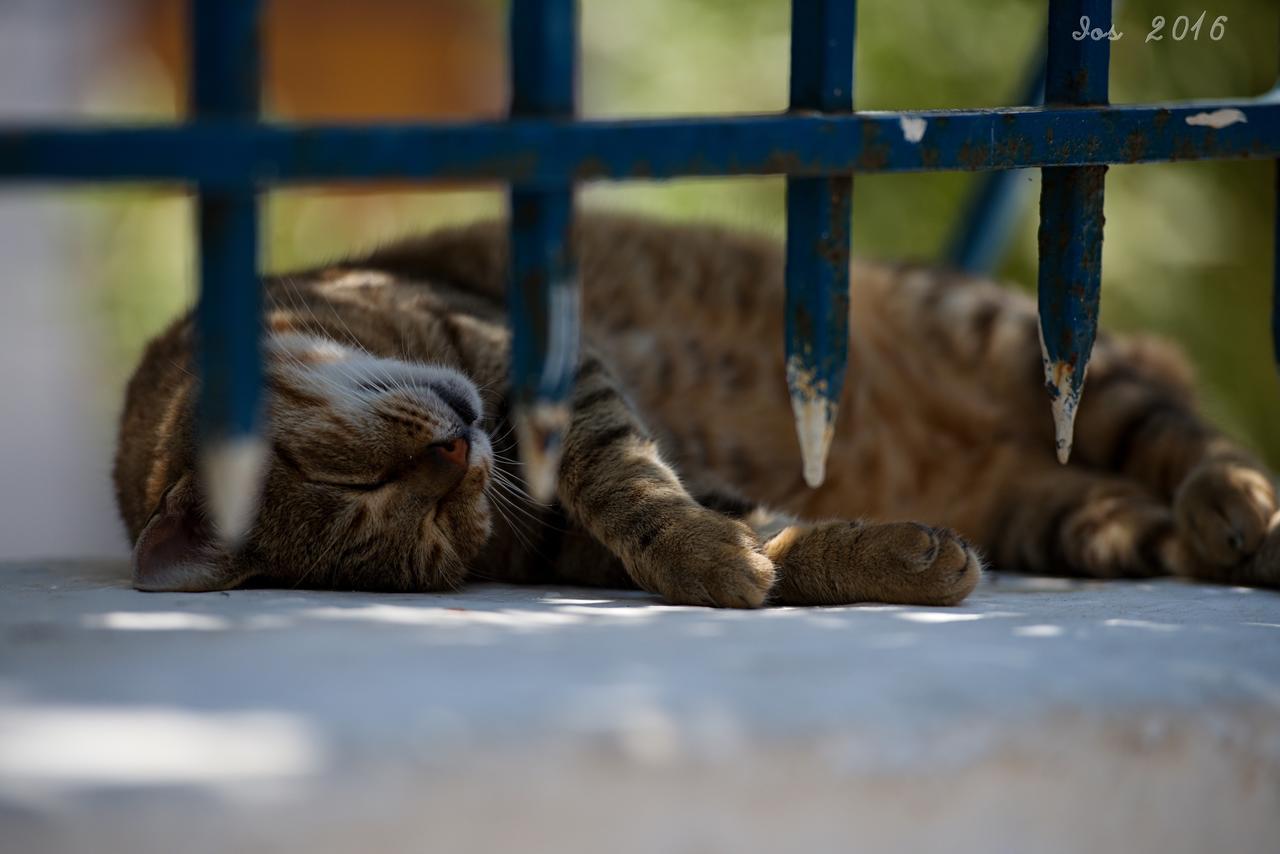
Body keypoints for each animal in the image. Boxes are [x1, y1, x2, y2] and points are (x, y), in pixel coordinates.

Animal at [112, 217, 1280, 612]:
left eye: (351, 473)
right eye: (430, 525)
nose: (457, 450)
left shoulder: (540, 359)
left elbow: (625, 476)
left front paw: (704, 553)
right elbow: (765, 530)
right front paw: (874, 559)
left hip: (1030, 348)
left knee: (1191, 435)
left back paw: (1239, 505)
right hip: (1067, 513)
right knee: (1135, 512)